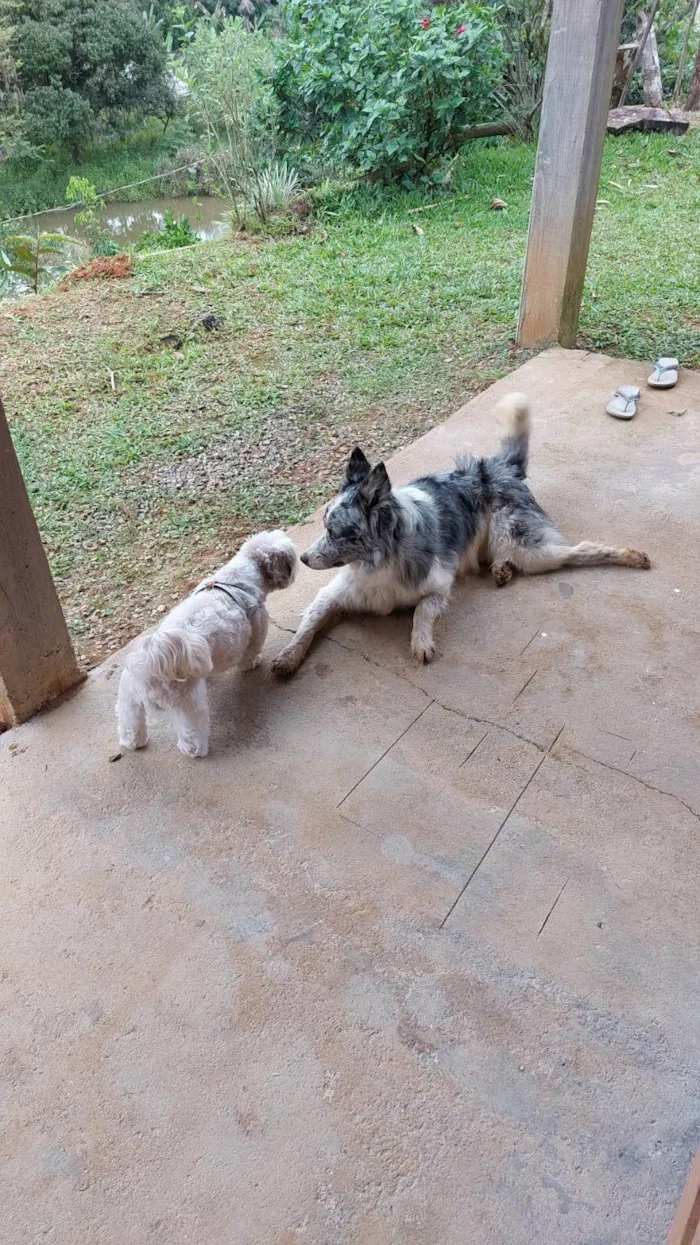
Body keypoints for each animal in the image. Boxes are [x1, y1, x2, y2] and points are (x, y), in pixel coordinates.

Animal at [115, 527, 295, 751]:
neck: (238, 578)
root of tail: (150, 662)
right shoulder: (257, 626)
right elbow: (250, 654)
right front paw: (252, 664)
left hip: (129, 698)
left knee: (129, 722)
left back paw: (132, 742)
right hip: (187, 702)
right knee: (191, 730)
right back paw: (195, 750)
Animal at [270, 393, 647, 677]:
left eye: (338, 532)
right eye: (324, 525)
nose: (303, 558)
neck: (382, 560)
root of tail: (499, 467)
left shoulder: (439, 587)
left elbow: (421, 612)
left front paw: (421, 642)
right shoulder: (334, 594)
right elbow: (309, 624)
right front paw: (288, 656)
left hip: (527, 547)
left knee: (579, 549)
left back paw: (630, 556)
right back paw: (501, 569)